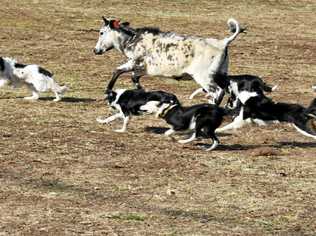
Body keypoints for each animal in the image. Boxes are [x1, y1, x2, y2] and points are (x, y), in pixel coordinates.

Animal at [94, 17, 244, 103]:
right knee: (228, 90)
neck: (133, 39)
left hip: (204, 77)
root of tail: (223, 42)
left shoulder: (133, 62)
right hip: (220, 74)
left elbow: (117, 71)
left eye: (101, 32)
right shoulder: (144, 68)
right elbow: (134, 78)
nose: (95, 50)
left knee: (218, 92)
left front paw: (107, 92)